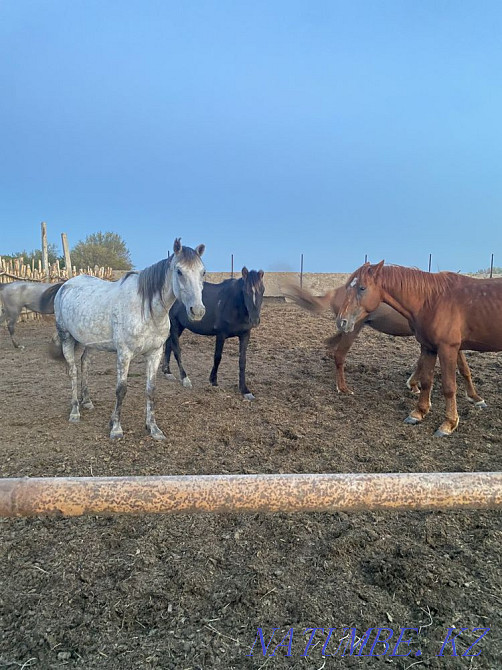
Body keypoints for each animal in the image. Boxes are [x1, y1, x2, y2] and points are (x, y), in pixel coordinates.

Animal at [50, 239, 206, 440]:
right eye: (179, 271)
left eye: (203, 272)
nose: (198, 311)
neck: (146, 310)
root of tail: (65, 285)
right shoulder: (124, 354)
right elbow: (121, 390)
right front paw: (116, 428)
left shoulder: (155, 353)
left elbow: (151, 389)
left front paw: (153, 428)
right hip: (66, 337)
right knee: (73, 371)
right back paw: (75, 411)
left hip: (90, 342)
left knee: (85, 364)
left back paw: (87, 401)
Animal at [162, 267, 265, 400]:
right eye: (245, 291)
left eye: (262, 290)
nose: (255, 320)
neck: (233, 304)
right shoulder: (221, 334)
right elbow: (217, 357)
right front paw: (213, 381)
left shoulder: (245, 335)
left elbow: (242, 361)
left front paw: (245, 390)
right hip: (174, 325)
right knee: (176, 349)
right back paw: (185, 379)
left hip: (180, 326)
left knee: (169, 344)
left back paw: (167, 372)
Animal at [286, 284, 483, 402]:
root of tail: (337, 291)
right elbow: (460, 366)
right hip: (352, 329)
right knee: (339, 355)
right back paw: (343, 388)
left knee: (330, 344)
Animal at [337, 261, 502, 436]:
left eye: (362, 288)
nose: (342, 321)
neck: (433, 301)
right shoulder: (428, 347)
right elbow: (427, 380)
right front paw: (419, 412)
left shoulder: (448, 348)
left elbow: (449, 386)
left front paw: (449, 423)